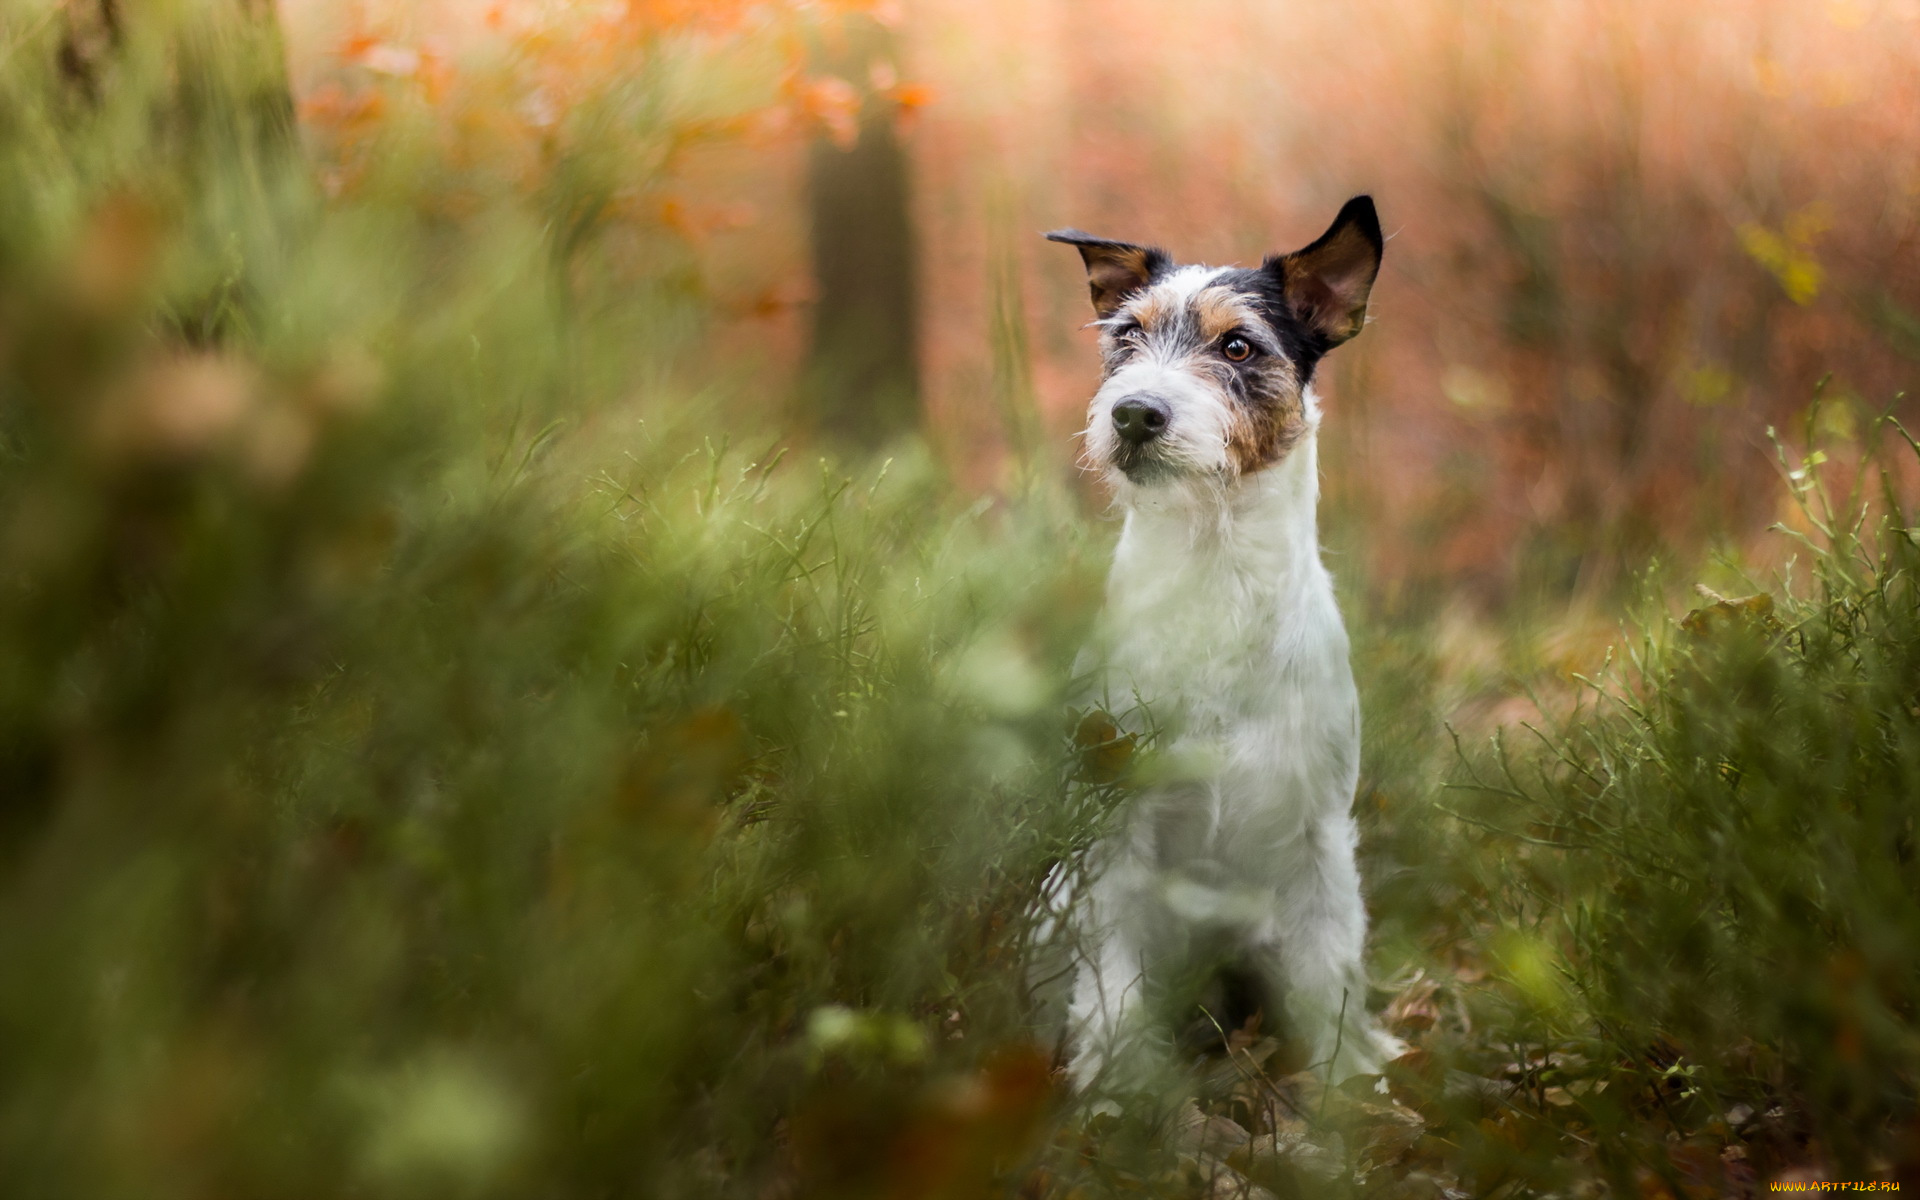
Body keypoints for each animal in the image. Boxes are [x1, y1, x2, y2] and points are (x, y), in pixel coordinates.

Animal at [1044, 193, 1405, 1082]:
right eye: (1125, 337)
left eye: (1237, 345)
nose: (1135, 413)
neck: (1214, 578)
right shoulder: (1115, 843)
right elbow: (1111, 991)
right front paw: (1116, 1094)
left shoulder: (1317, 840)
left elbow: (1329, 977)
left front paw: (1347, 1095)